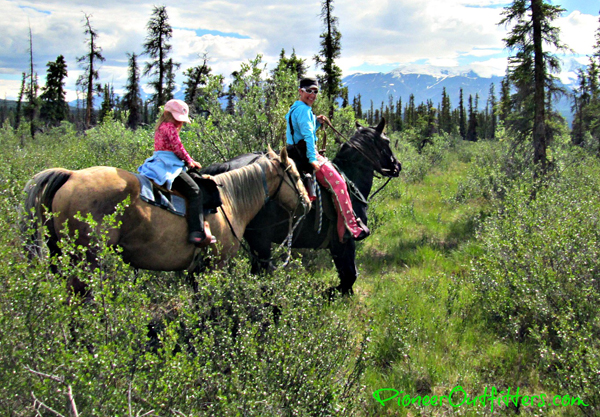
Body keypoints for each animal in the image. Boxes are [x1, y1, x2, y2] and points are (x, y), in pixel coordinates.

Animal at [22, 148, 310, 294]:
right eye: (296, 175)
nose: (308, 202)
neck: (230, 200)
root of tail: (70, 175)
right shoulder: (215, 265)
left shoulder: (196, 270)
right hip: (86, 262)